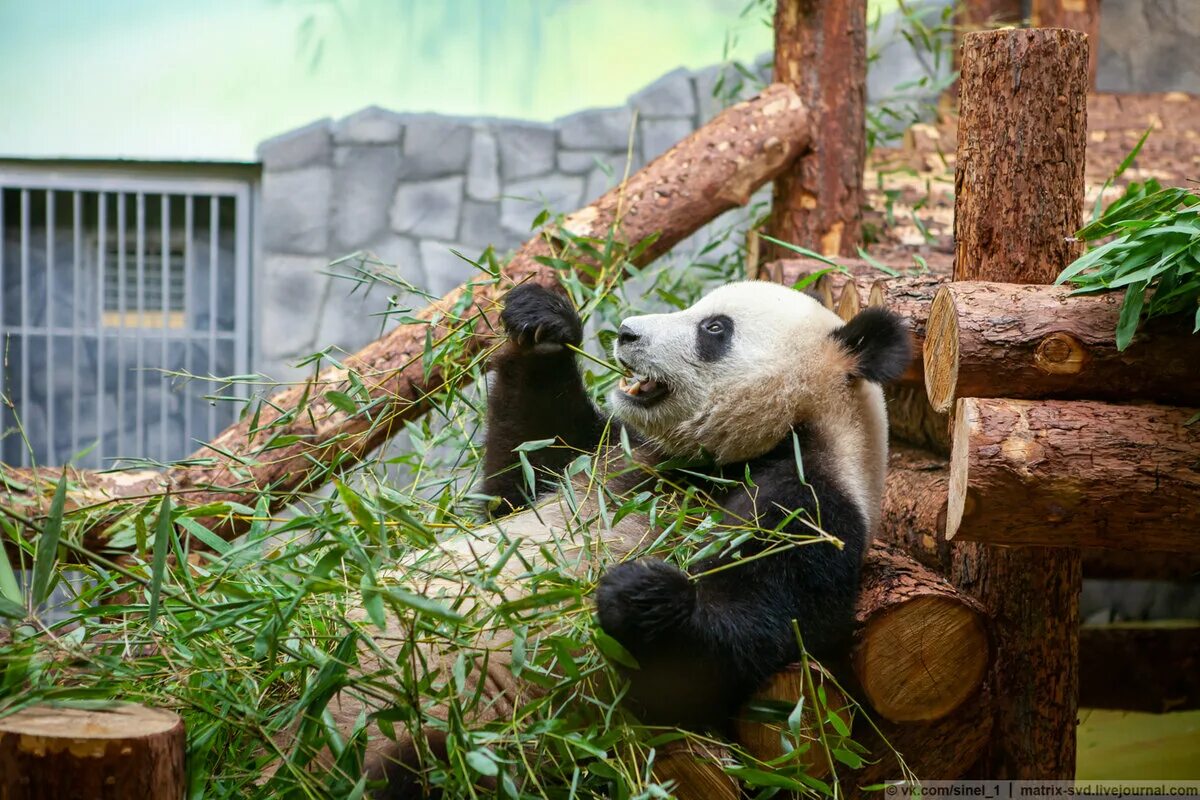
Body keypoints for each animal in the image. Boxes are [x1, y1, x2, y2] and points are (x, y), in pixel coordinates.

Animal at [338, 280, 907, 796]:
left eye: (714, 328)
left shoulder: (814, 511)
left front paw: (639, 596)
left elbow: (726, 651)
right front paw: (542, 321)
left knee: (419, 765)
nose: (627, 333)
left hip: (464, 736)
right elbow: (523, 471)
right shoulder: (619, 455)